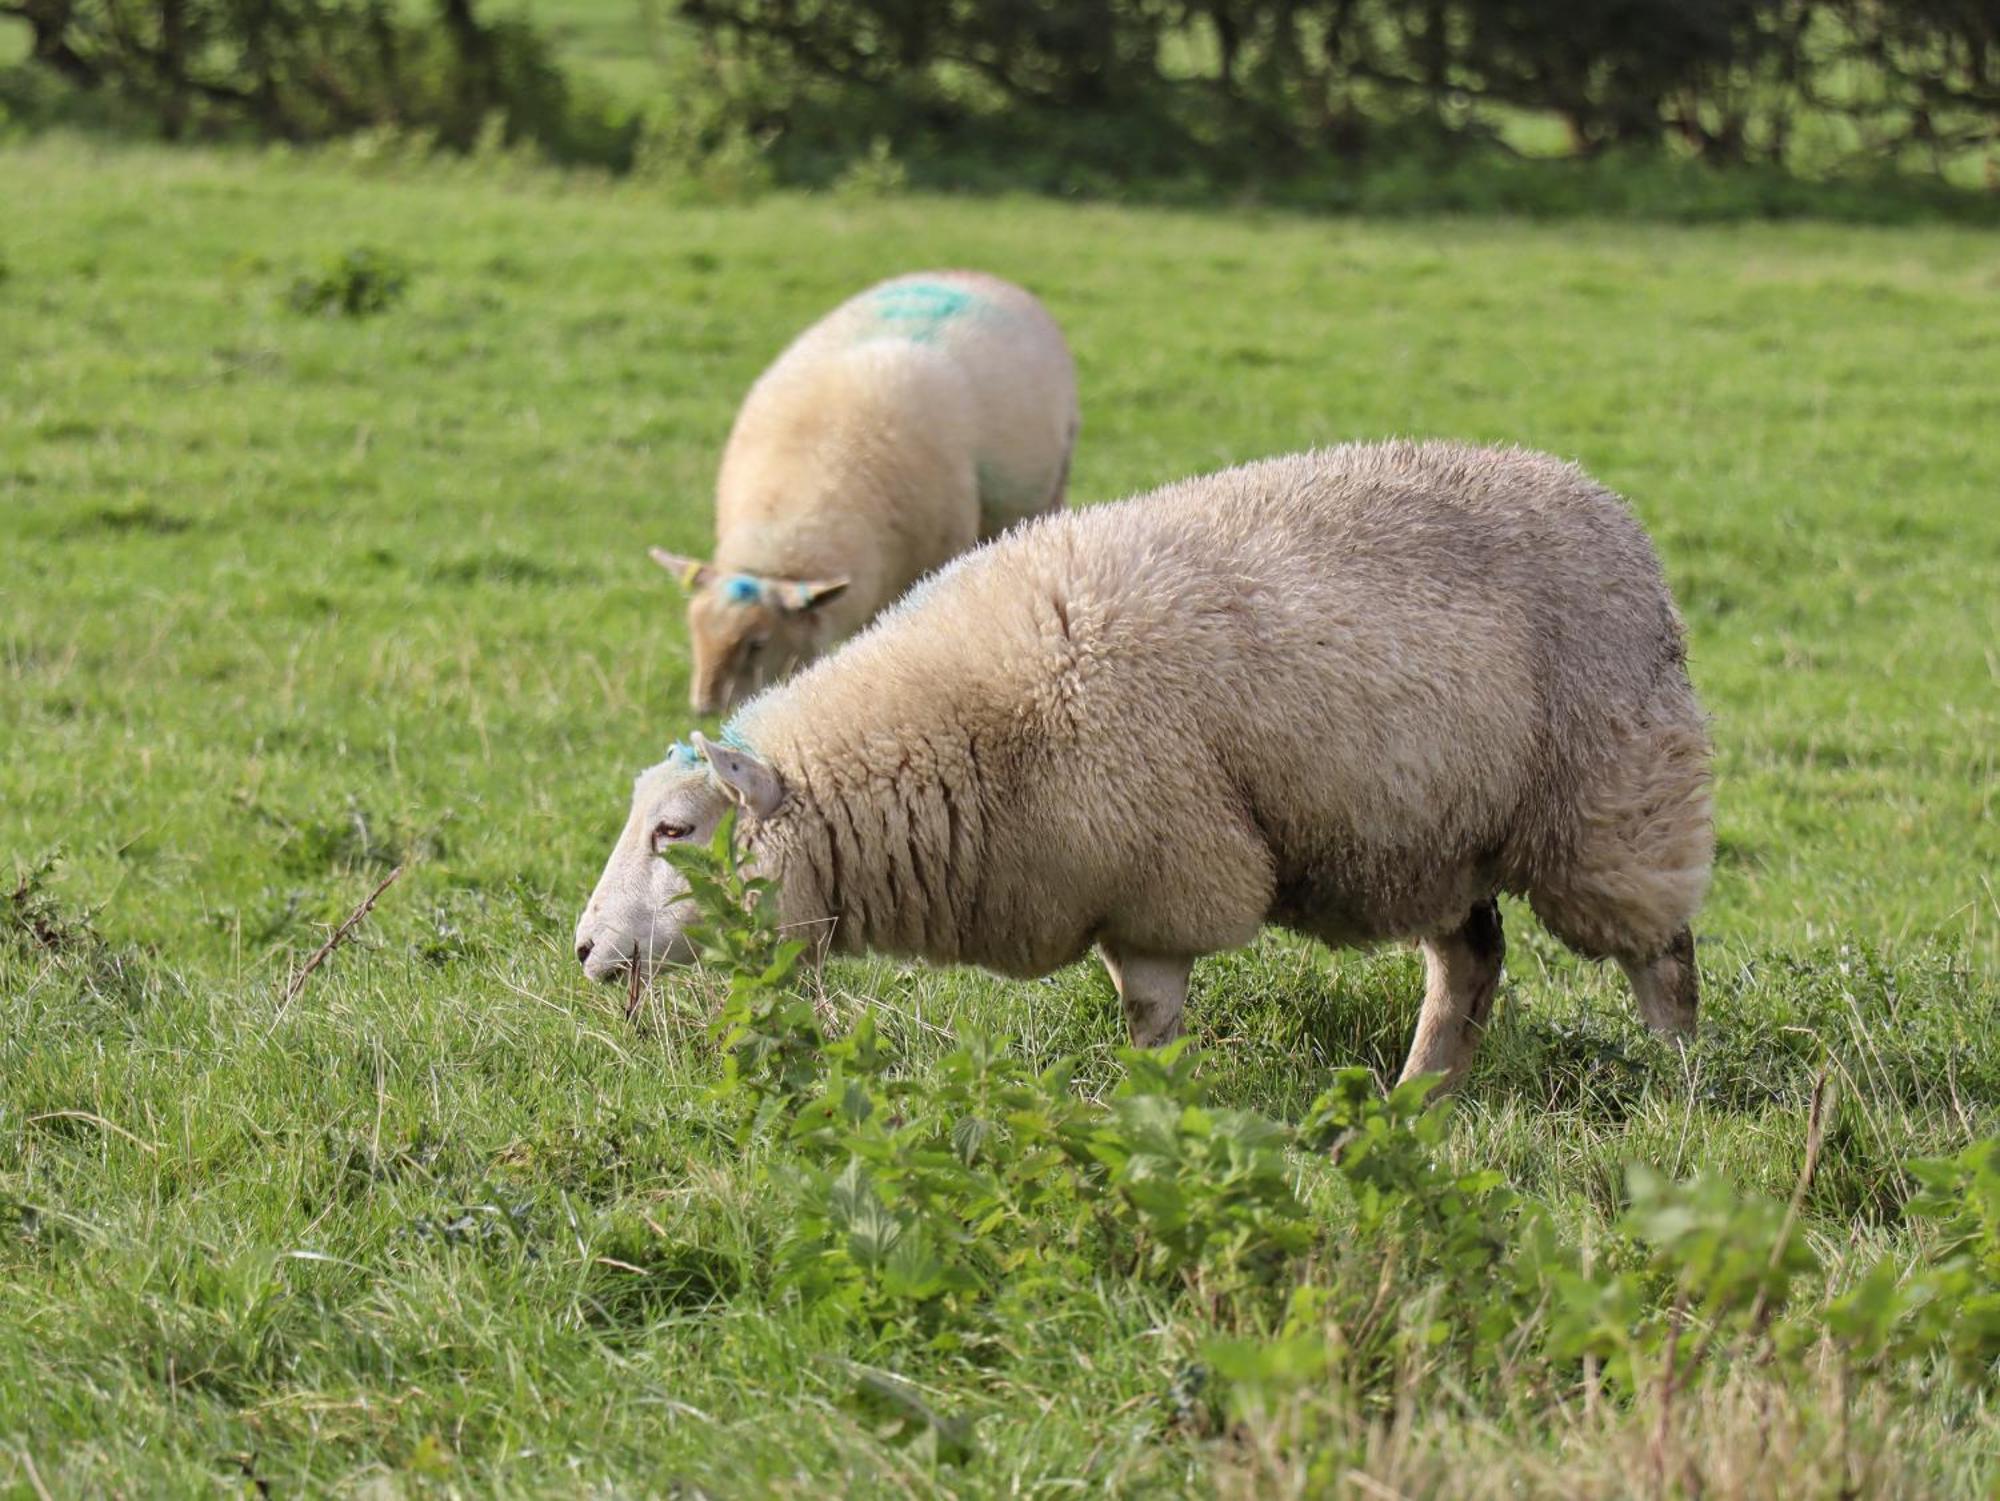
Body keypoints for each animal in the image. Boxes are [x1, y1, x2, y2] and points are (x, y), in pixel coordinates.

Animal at [572, 440, 1712, 1088]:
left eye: (676, 828)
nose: (583, 949)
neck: (957, 729)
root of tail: (1605, 505)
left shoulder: (1163, 877)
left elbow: (1149, 1021)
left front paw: (1146, 1115)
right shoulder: (1113, 889)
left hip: (1614, 795)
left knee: (1661, 953)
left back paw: (1675, 1088)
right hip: (1431, 831)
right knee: (1472, 959)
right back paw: (1418, 1100)